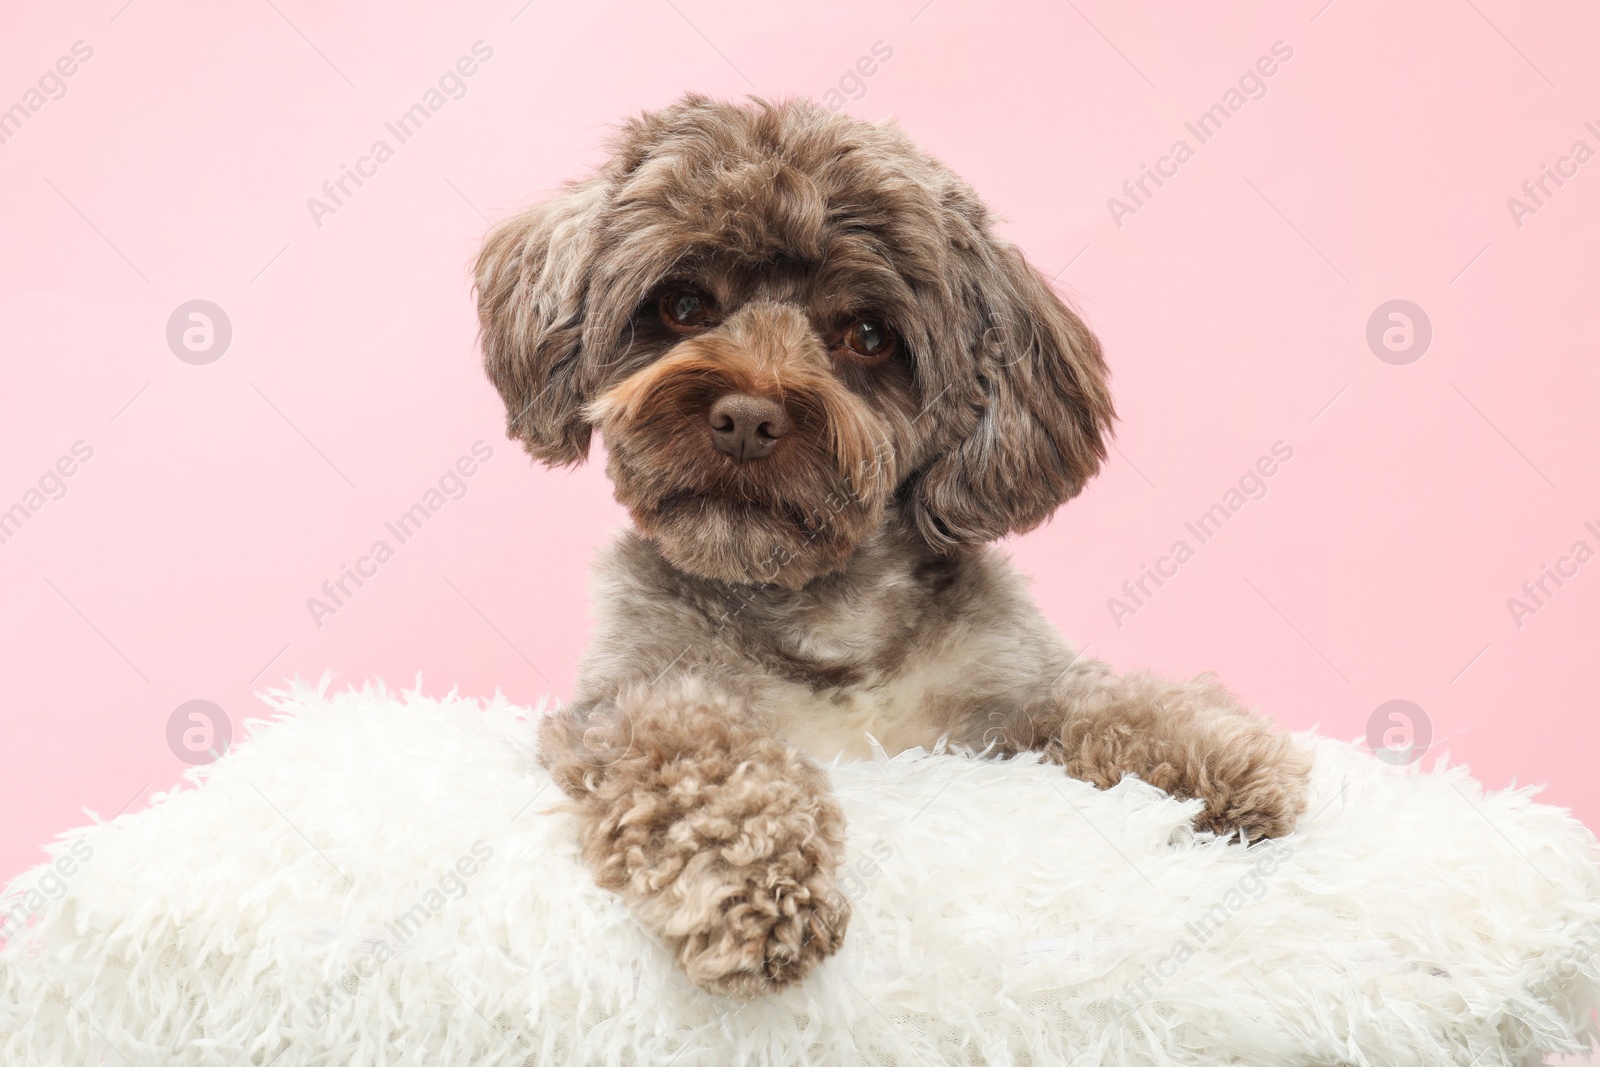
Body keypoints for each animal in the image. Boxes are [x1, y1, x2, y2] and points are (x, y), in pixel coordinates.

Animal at [473, 93, 1312, 1004]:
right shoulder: (627, 700)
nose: (745, 417)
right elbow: (696, 750)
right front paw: (752, 877)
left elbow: (1098, 696)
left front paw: (1222, 753)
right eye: (685, 306)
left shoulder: (996, 705)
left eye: (869, 335)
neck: (824, 614)